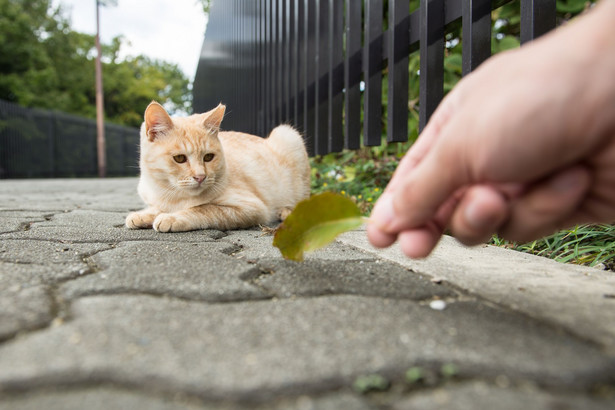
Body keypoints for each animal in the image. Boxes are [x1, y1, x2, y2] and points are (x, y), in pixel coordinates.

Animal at [125, 101, 310, 232]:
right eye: (179, 158)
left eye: (208, 157)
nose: (200, 176)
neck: (170, 194)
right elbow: (156, 207)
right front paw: (143, 215)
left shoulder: (252, 208)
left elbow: (204, 209)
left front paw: (172, 218)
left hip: (288, 136)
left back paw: (286, 212)